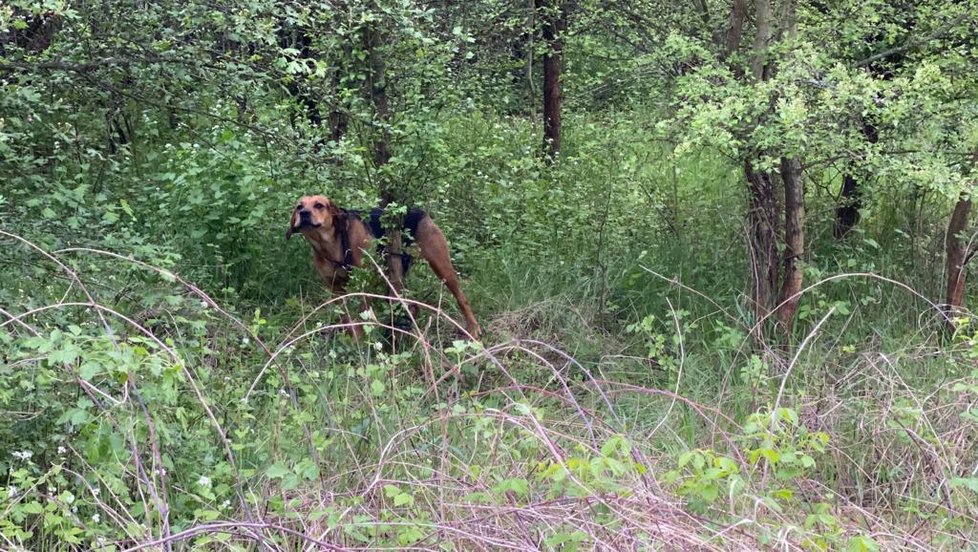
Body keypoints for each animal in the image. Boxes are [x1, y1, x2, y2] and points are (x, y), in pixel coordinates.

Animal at [284, 196, 482, 338]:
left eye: (319, 205)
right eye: (299, 206)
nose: (304, 213)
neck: (330, 245)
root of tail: (418, 210)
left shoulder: (363, 283)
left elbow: (363, 314)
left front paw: (362, 340)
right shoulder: (335, 288)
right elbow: (345, 317)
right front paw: (352, 339)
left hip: (440, 265)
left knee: (461, 298)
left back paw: (473, 328)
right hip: (395, 273)